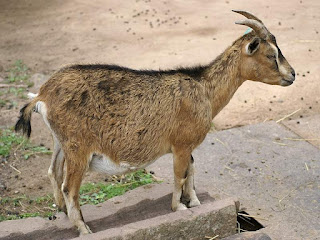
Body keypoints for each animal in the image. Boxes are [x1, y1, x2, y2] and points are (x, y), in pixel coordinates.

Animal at [15, 10, 296, 234]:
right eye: (271, 55)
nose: (292, 75)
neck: (203, 90)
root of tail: (42, 95)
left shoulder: (186, 145)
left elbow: (191, 168)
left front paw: (195, 202)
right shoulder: (181, 144)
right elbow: (180, 174)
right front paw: (179, 207)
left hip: (60, 142)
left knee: (53, 172)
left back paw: (63, 214)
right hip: (78, 149)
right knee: (69, 188)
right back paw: (84, 229)